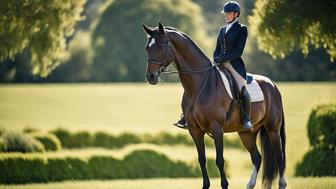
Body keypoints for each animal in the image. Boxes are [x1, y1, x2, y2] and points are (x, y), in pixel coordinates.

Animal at [142, 22, 286, 189]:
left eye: (160, 46)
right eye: (147, 48)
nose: (151, 77)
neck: (199, 85)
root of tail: (272, 85)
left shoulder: (217, 128)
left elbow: (219, 160)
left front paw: (224, 185)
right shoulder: (194, 130)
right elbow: (202, 159)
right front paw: (205, 185)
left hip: (272, 129)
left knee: (279, 156)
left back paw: (282, 183)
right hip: (246, 133)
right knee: (257, 157)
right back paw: (250, 184)